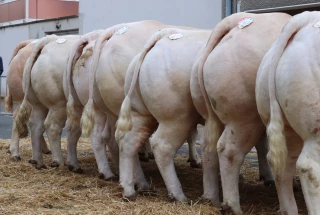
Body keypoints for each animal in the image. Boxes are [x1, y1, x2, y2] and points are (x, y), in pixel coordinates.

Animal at [191, 12, 292, 214]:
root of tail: (233, 23)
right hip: (245, 116)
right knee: (229, 150)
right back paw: (232, 206)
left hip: (213, 116)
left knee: (208, 146)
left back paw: (211, 198)